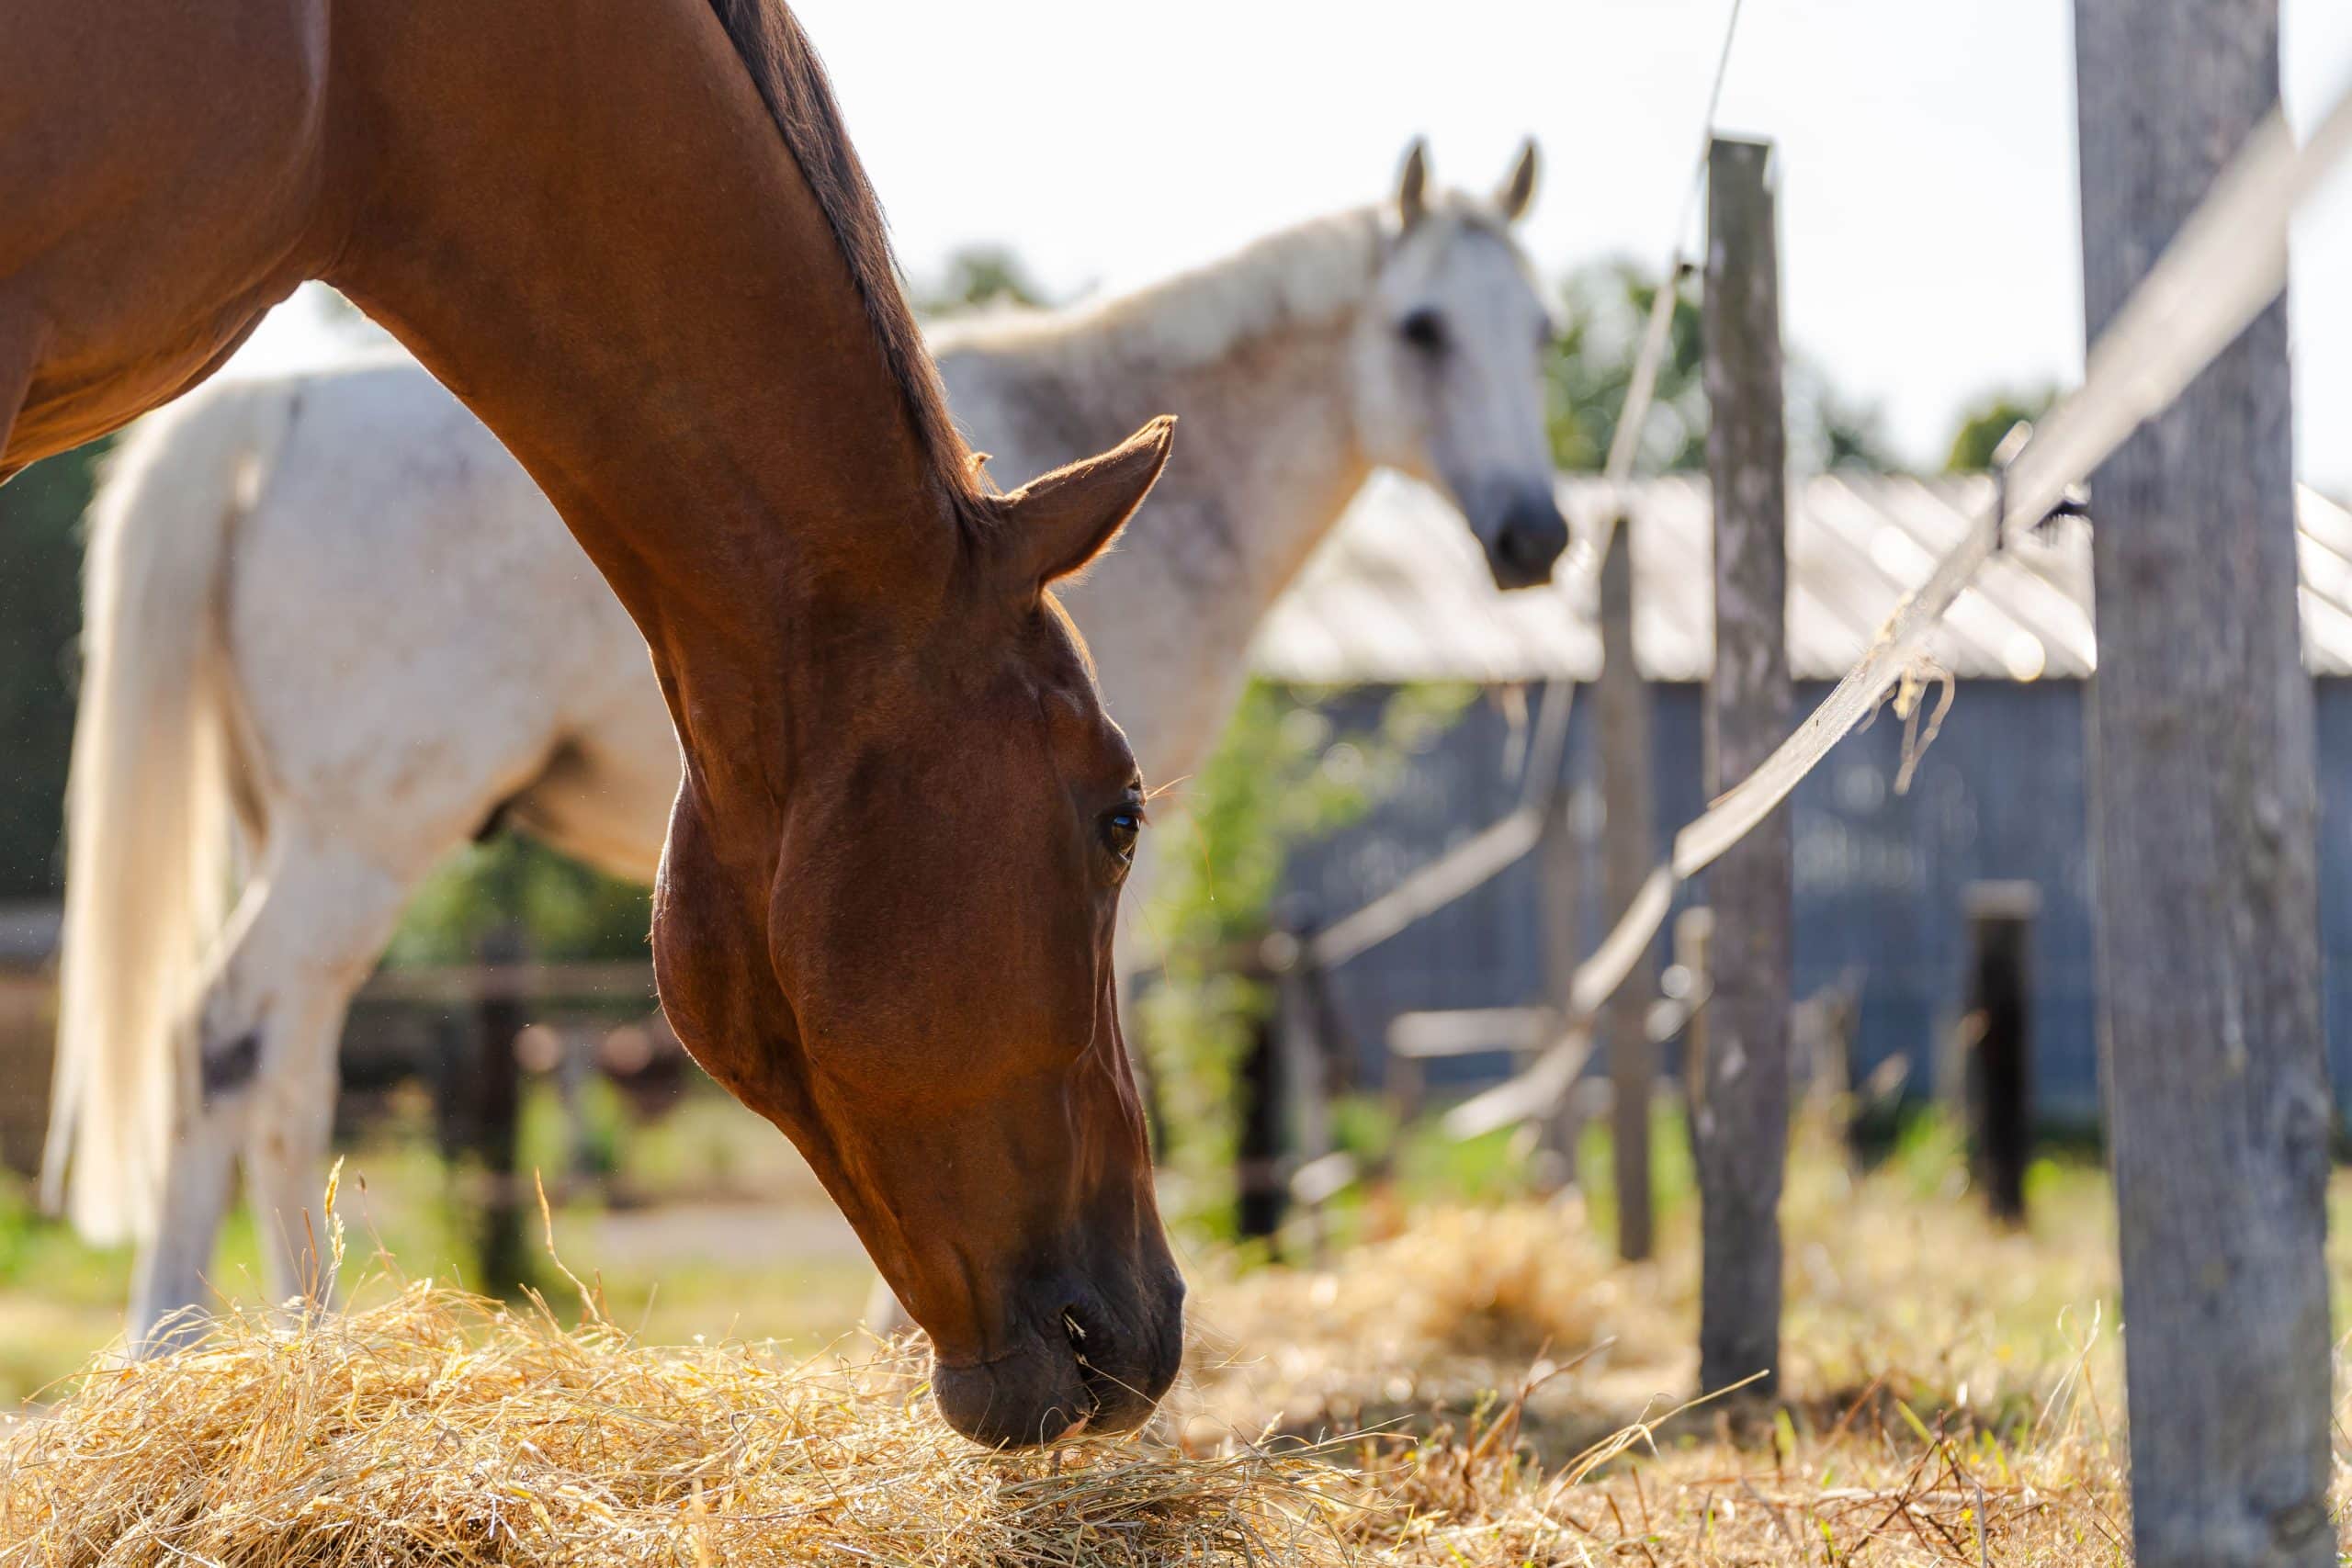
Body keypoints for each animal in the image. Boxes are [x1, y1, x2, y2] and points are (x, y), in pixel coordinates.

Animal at [51, 141, 1561, 1344]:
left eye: (1542, 329)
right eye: (1421, 327)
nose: (1534, 534)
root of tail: (273, 405)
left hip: (300, 837)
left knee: (269, 1066)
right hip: (360, 839)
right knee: (237, 1035)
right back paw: (223, 1346)